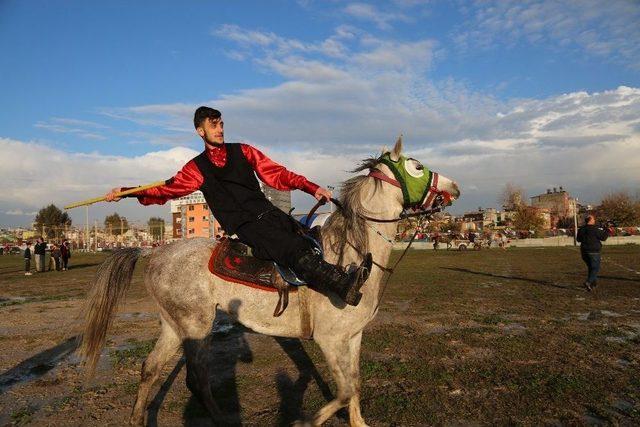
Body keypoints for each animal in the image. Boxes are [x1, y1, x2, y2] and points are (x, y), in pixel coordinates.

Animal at [80, 139, 460, 426]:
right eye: (415, 166)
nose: (454, 187)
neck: (351, 258)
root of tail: (155, 253)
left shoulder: (353, 336)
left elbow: (354, 384)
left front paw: (357, 423)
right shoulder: (330, 339)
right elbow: (343, 391)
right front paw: (307, 420)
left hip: (174, 326)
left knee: (150, 369)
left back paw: (138, 419)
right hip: (195, 326)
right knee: (196, 378)